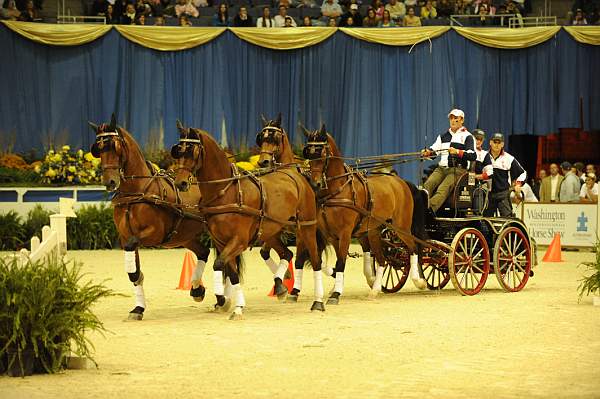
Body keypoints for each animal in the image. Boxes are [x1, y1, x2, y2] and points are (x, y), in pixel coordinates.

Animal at [88, 114, 212, 320]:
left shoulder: (153, 234)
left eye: (114, 146)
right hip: (184, 236)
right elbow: (135, 274)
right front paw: (138, 309)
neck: (136, 193)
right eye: (98, 148)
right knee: (204, 252)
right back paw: (198, 290)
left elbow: (134, 269)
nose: (110, 181)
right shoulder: (125, 237)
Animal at [171, 122, 326, 318]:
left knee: (315, 260)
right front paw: (235, 305)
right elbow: (232, 273)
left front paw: (223, 300)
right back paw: (281, 286)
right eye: (178, 151)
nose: (180, 183)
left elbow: (218, 264)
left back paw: (318, 301)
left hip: (306, 227)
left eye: (192, 151)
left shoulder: (239, 241)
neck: (226, 192)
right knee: (286, 254)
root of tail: (294, 172)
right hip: (272, 231)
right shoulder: (222, 242)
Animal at [300, 125, 426, 304]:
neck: (338, 191)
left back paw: (419, 281)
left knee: (413, 248)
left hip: (401, 226)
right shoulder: (331, 236)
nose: (315, 183)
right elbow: (336, 261)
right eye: (308, 155)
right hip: (374, 231)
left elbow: (341, 262)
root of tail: (401, 182)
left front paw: (335, 294)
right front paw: (336, 287)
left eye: (323, 154)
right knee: (382, 260)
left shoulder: (345, 233)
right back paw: (374, 290)